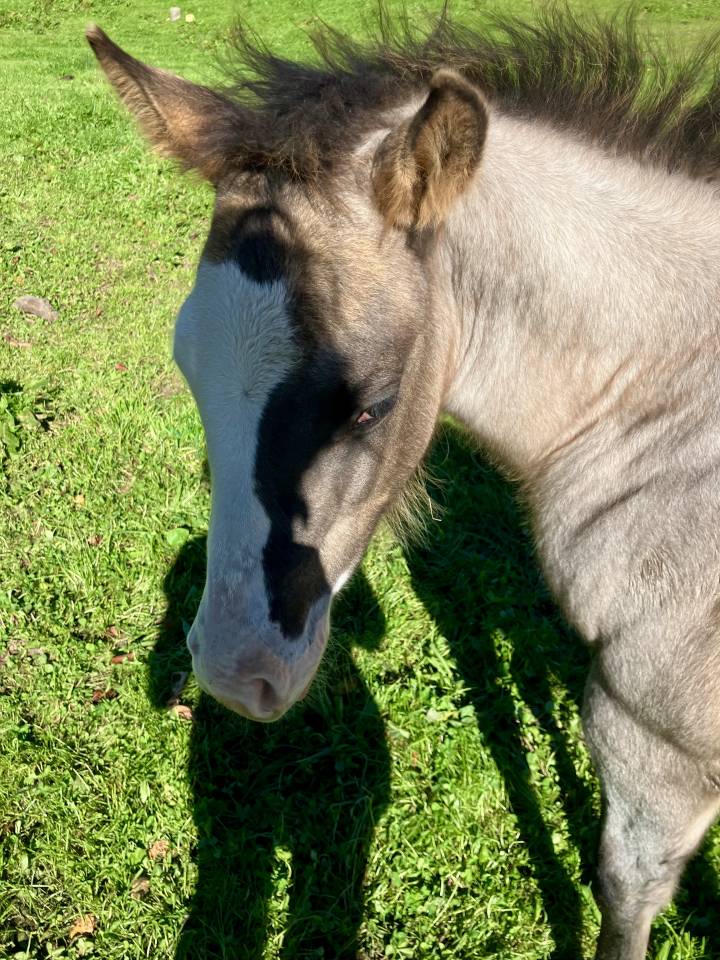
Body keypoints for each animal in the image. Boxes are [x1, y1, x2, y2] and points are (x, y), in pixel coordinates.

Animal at [87, 10, 720, 958]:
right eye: (190, 373)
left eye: (369, 406)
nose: (237, 675)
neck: (675, 414)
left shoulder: (654, 741)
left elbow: (623, 893)